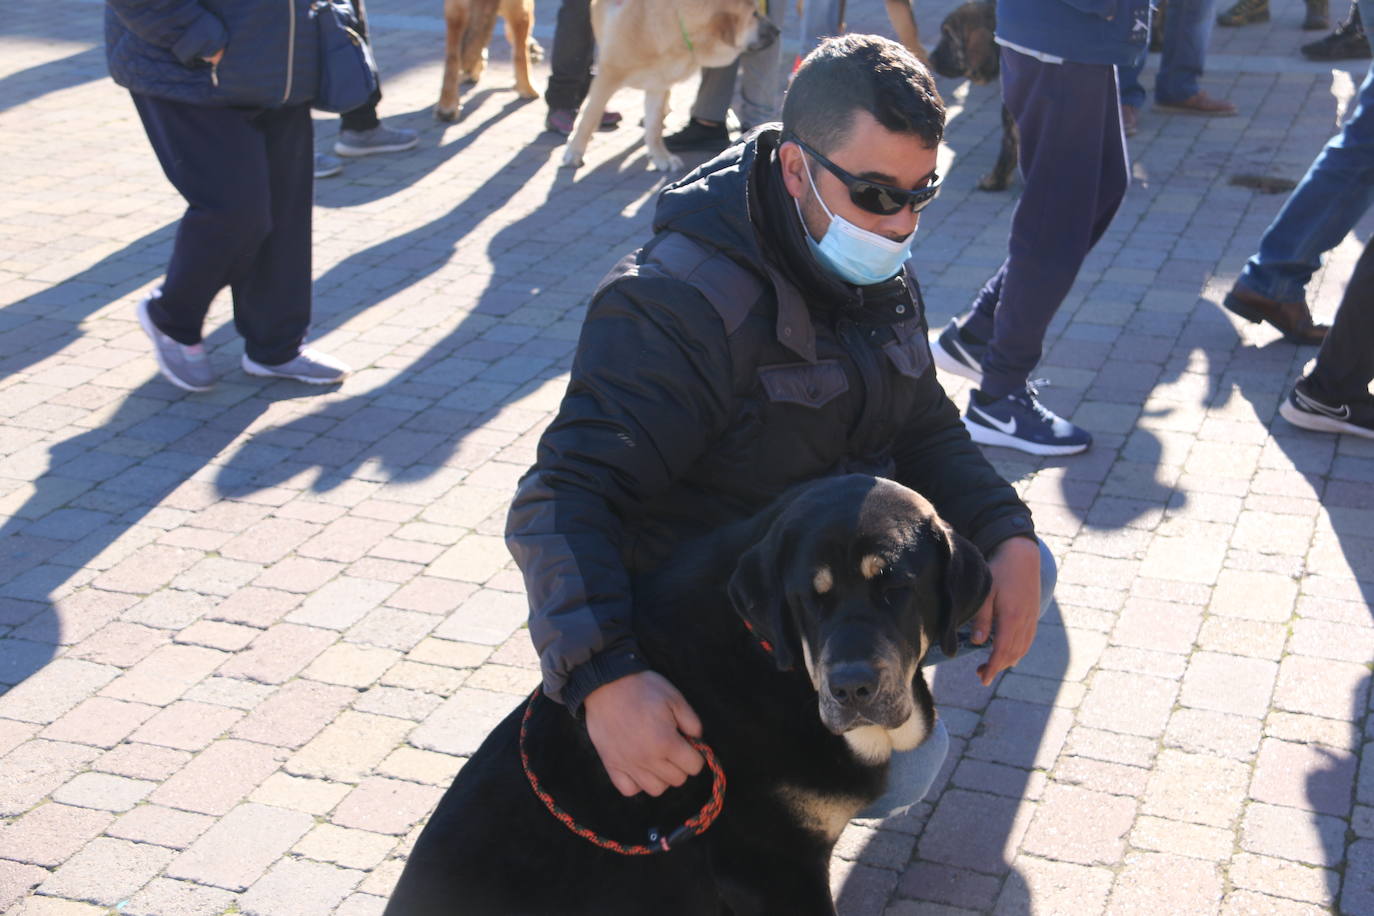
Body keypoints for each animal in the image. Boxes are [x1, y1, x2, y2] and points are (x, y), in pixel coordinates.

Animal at [555, 0, 774, 170]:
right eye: (754, 14)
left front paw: (661, 157)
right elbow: (589, 117)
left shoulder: (658, 85)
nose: (778, 30)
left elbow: (654, 129)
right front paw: (574, 152)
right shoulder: (609, 75)